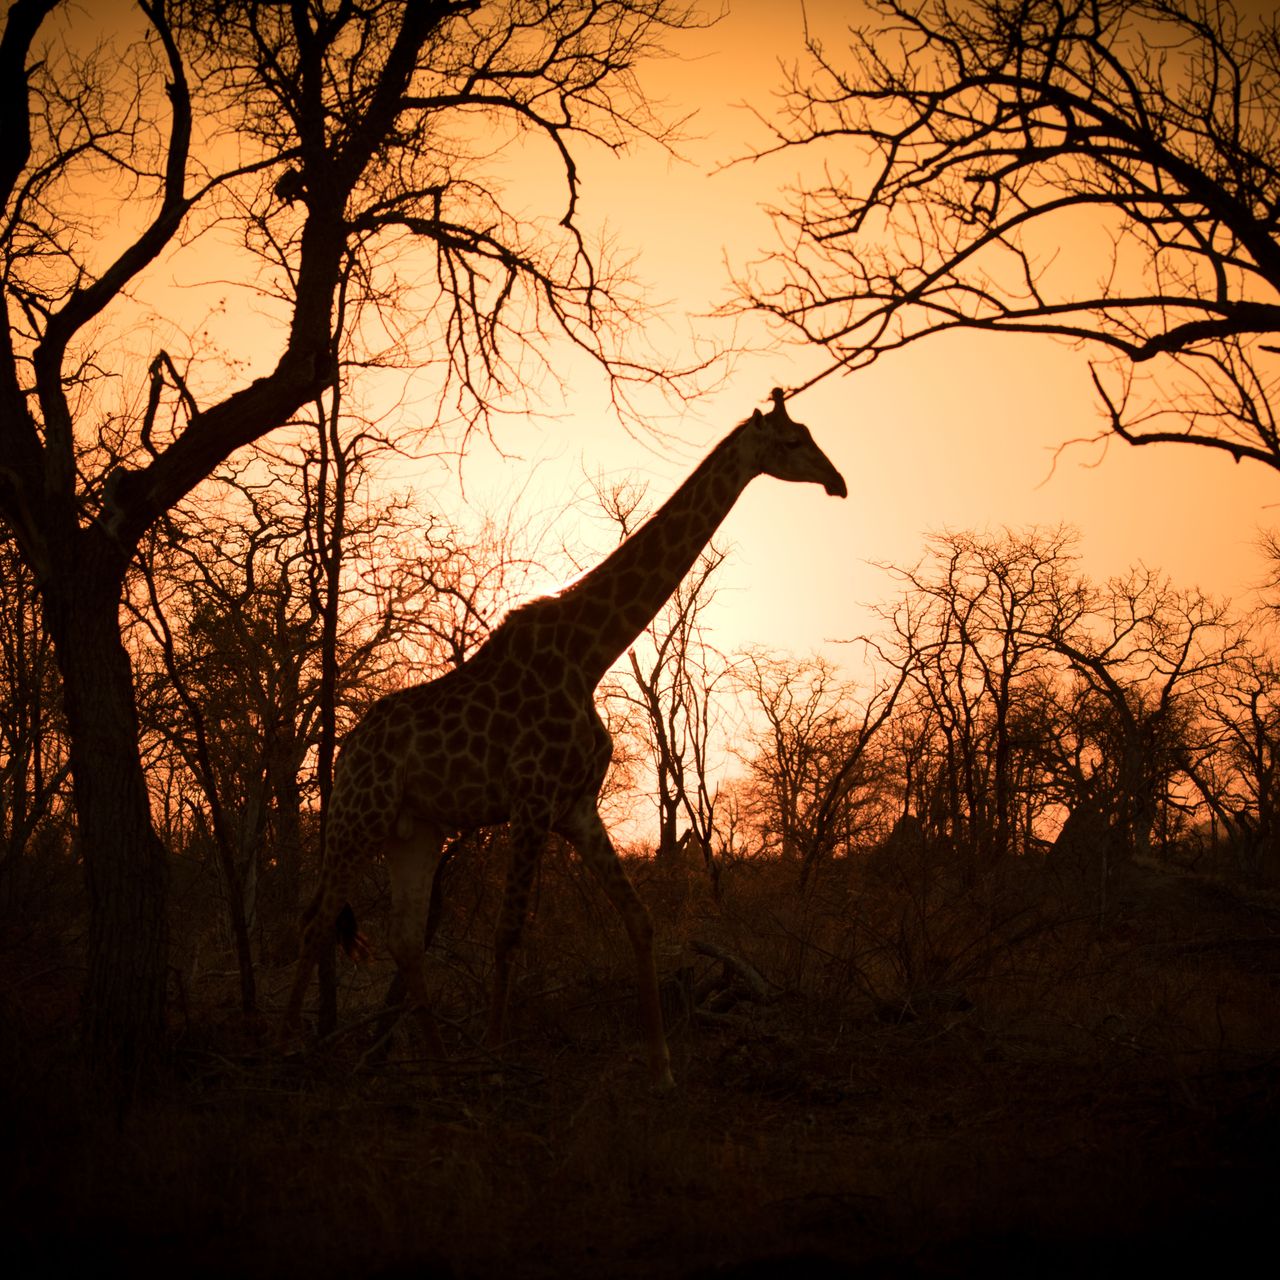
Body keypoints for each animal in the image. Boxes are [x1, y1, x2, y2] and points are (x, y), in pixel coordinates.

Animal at [283, 388, 847, 1089]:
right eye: (795, 442)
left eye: (812, 436)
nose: (838, 482)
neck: (589, 654)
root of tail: (346, 752)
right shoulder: (530, 802)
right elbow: (508, 933)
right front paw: (497, 1064)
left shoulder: (576, 807)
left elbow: (639, 918)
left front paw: (661, 1067)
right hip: (357, 819)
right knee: (313, 922)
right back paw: (289, 1053)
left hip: (413, 831)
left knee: (404, 939)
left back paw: (438, 1072)